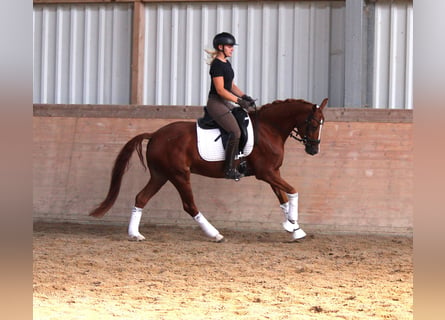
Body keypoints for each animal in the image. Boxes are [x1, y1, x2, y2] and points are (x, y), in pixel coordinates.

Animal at [89, 99, 326, 241]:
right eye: (314, 124)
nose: (314, 149)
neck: (270, 129)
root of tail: (155, 134)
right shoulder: (267, 173)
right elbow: (293, 191)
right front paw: (292, 224)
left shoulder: (272, 173)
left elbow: (283, 198)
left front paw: (294, 228)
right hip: (179, 175)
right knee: (189, 205)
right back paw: (214, 234)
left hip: (161, 175)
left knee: (141, 197)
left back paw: (134, 234)